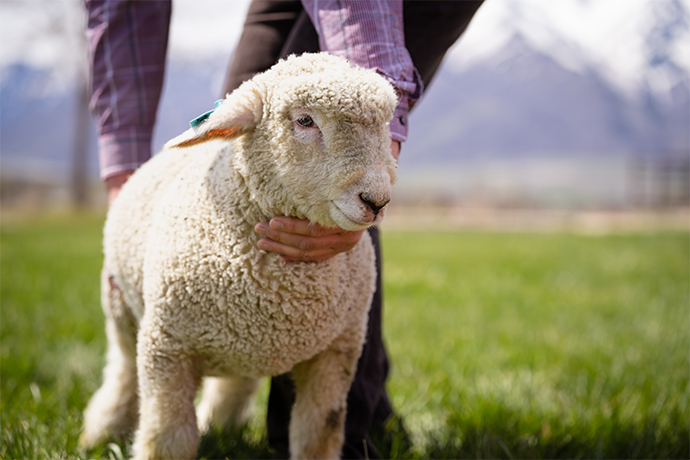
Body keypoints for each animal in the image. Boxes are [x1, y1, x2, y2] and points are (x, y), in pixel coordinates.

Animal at [79, 52, 398, 460]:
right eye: (305, 121)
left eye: (385, 126)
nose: (377, 200)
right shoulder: (166, 347)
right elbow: (167, 440)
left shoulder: (335, 354)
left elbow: (317, 436)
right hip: (122, 312)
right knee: (121, 374)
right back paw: (100, 432)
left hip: (250, 350)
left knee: (235, 384)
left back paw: (219, 423)